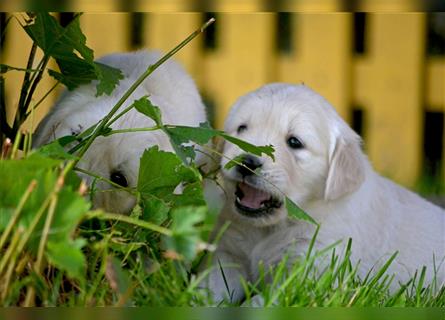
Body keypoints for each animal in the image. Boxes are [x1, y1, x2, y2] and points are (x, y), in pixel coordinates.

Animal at [202, 82, 444, 302]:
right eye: (242, 128)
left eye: (294, 142)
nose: (247, 162)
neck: (269, 229)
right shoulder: (228, 252)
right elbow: (213, 283)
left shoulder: (307, 272)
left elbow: (264, 301)